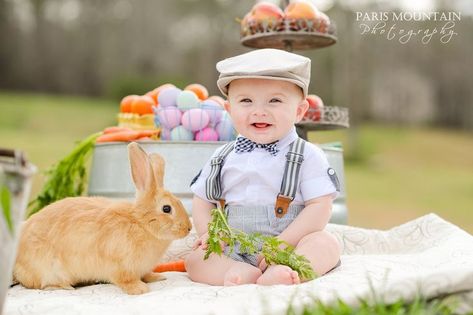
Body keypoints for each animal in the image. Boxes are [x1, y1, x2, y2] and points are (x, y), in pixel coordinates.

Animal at [14, 143, 192, 296]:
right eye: (167, 208)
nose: (188, 228)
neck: (140, 223)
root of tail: (17, 266)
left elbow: (146, 274)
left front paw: (157, 277)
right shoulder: (121, 266)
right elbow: (126, 280)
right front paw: (140, 289)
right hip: (49, 270)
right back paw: (64, 287)